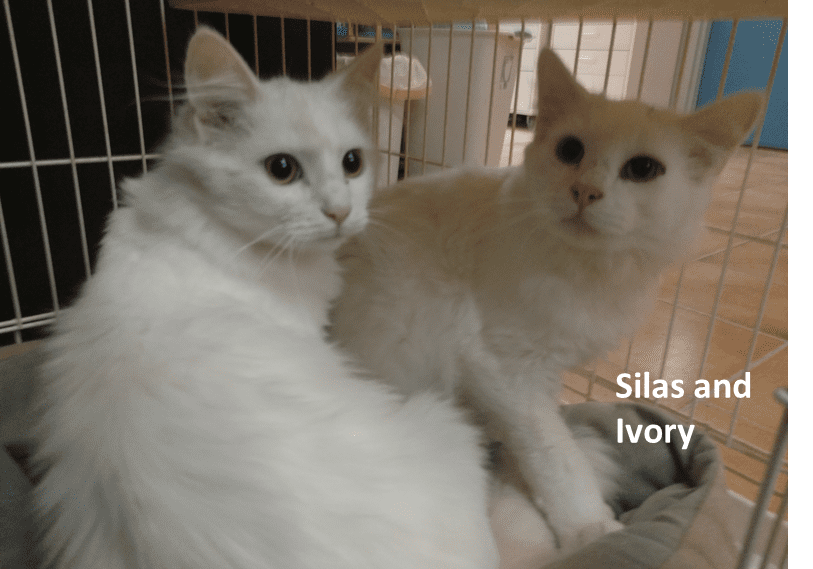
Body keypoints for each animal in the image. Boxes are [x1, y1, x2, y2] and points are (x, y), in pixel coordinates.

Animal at [328, 48, 760, 556]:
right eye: (570, 150)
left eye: (643, 170)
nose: (585, 191)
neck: (587, 268)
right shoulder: (507, 372)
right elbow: (558, 459)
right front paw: (590, 527)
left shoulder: (539, 378)